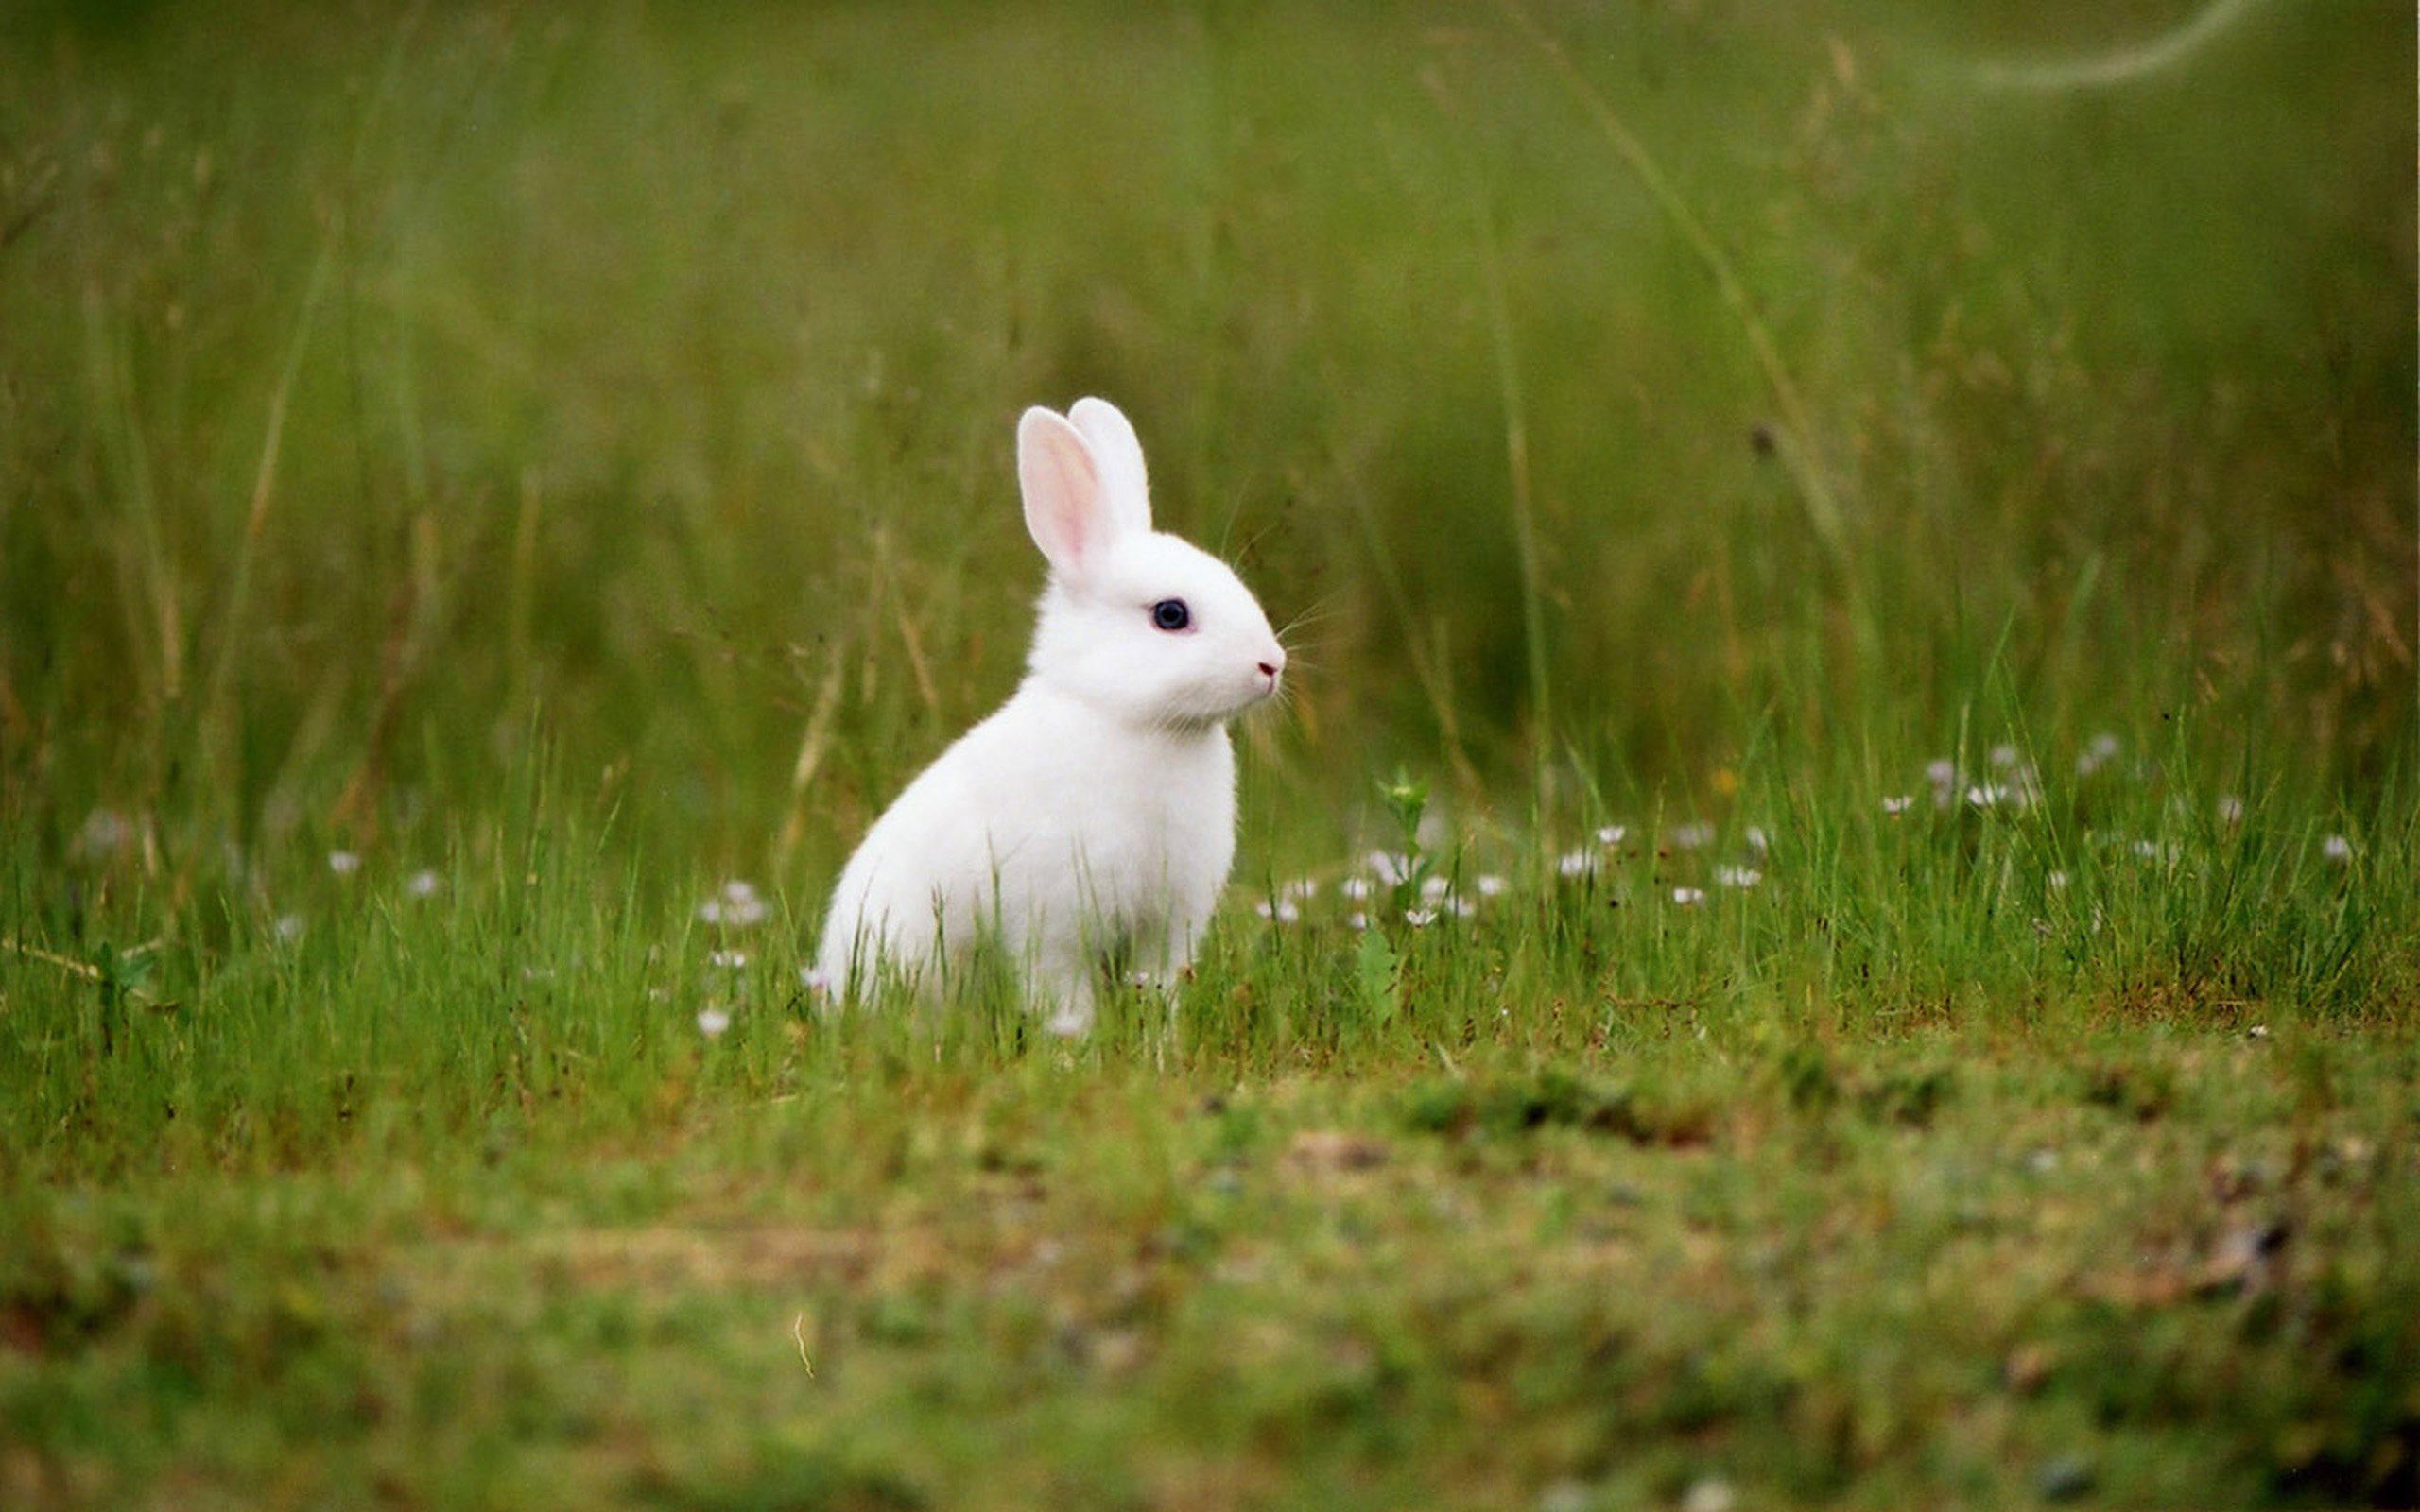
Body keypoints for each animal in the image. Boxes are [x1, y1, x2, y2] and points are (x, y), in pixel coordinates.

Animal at [818, 394, 1287, 1030]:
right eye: (1170, 614)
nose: (1272, 665)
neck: (1126, 718)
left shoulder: (1169, 926)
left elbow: (1160, 988)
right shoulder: (1052, 924)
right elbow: (1063, 997)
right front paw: (1077, 1047)